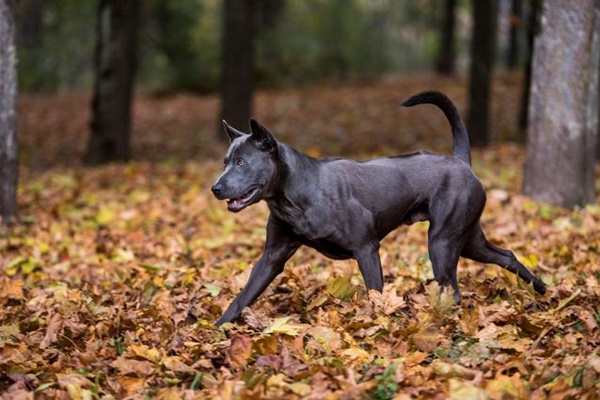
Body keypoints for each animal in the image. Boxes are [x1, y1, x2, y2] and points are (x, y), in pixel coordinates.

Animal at [212, 90, 548, 324]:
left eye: (242, 163)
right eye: (225, 161)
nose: (215, 188)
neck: (295, 194)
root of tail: (460, 161)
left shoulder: (367, 249)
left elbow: (375, 293)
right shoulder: (272, 257)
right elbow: (242, 297)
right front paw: (218, 330)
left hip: (443, 243)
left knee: (453, 288)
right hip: (468, 240)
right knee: (506, 256)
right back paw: (542, 290)